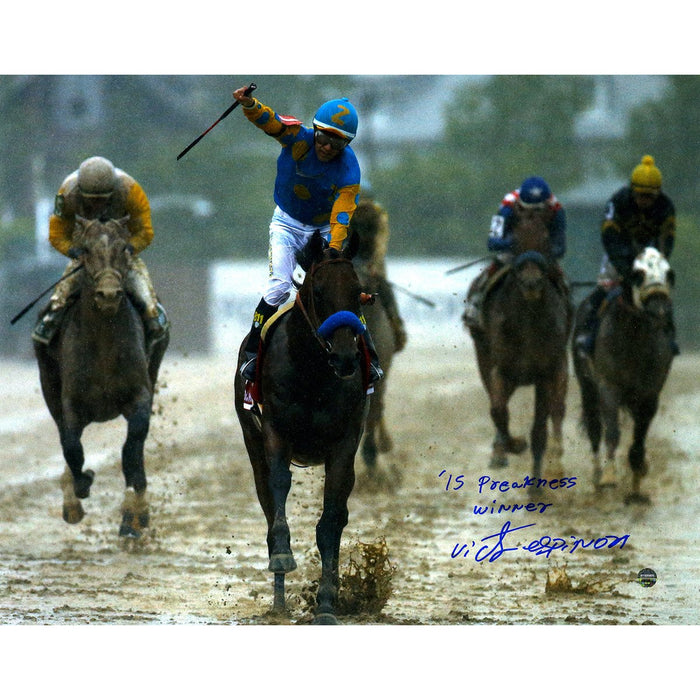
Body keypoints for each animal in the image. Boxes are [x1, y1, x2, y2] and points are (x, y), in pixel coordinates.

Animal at [34, 216, 170, 540]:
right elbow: (71, 447)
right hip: (49, 384)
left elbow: (132, 449)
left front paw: (135, 515)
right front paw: (79, 488)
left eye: (125, 248)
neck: (104, 346)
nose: (108, 293)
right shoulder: (71, 403)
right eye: (84, 249)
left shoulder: (139, 396)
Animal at [234, 230, 370, 624]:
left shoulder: (345, 441)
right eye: (319, 292)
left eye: (358, 292)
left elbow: (331, 521)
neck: (312, 372)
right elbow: (279, 487)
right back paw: (278, 600)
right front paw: (282, 555)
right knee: (267, 500)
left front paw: (326, 602)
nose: (345, 357)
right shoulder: (275, 432)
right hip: (251, 438)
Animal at [468, 217, 572, 482]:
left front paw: (555, 464)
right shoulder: (502, 369)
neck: (528, 321)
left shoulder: (550, 369)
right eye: (514, 240)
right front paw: (511, 446)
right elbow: (498, 410)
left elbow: (552, 413)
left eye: (546, 238)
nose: (531, 283)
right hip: (486, 358)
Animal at [572, 246, 676, 504]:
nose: (660, 310)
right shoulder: (608, 386)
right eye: (638, 274)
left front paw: (638, 482)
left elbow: (639, 440)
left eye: (669, 273)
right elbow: (611, 432)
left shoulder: (650, 394)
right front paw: (609, 476)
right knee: (594, 428)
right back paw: (598, 476)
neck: (636, 340)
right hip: (588, 387)